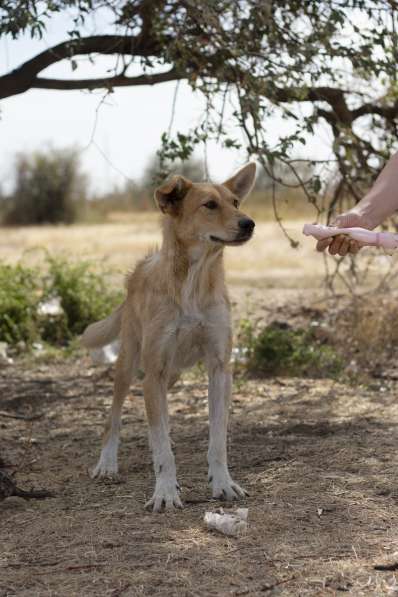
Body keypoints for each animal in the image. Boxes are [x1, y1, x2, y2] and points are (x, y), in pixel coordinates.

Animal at [82, 163, 256, 512]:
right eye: (209, 205)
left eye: (235, 202)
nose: (249, 223)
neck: (194, 282)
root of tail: (140, 268)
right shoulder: (154, 372)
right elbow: (161, 447)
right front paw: (164, 491)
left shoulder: (219, 369)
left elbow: (217, 439)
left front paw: (222, 483)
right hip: (131, 364)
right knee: (114, 418)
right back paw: (107, 462)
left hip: (172, 372)